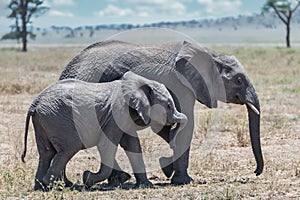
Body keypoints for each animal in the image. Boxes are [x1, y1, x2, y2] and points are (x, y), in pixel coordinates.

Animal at [22, 72, 188, 191]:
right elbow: (106, 145)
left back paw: (41, 187)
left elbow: (133, 145)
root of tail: (34, 104)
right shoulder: (117, 113)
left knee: (46, 153)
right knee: (69, 148)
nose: (172, 142)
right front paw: (87, 178)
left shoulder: (125, 116)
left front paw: (146, 185)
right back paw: (55, 186)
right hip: (57, 119)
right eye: (168, 106)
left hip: (44, 121)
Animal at [58, 39, 262, 186]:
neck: (210, 53)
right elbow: (187, 126)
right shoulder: (181, 85)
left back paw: (117, 179)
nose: (255, 172)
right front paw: (182, 181)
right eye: (238, 80)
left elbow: (166, 127)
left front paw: (168, 168)